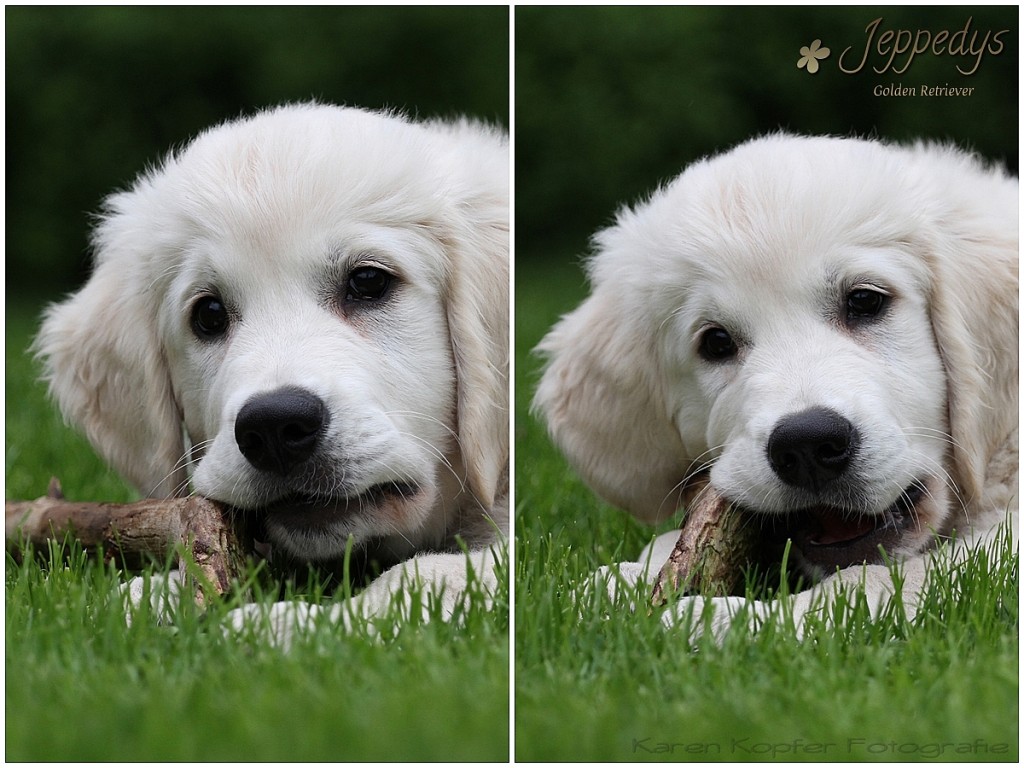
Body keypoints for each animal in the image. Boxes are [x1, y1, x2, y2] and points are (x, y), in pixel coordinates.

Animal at [37, 102, 509, 638]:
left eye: (368, 282)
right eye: (208, 314)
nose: (275, 427)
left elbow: (426, 574)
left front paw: (280, 624)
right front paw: (151, 594)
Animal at [536, 134, 1015, 638]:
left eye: (865, 301)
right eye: (716, 342)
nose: (808, 446)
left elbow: (883, 580)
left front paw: (723, 619)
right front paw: (622, 580)